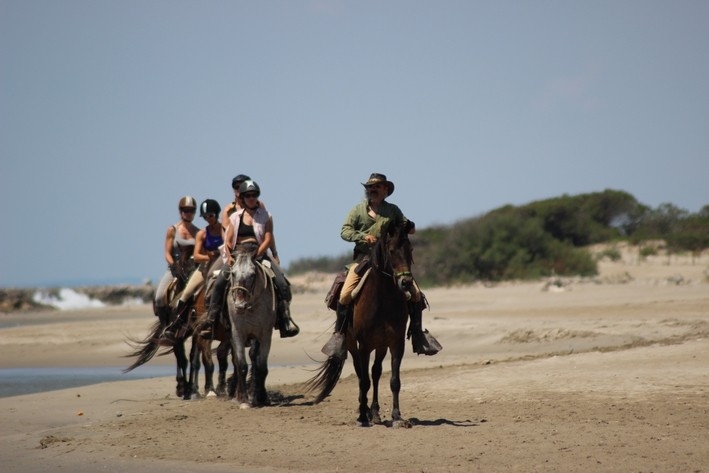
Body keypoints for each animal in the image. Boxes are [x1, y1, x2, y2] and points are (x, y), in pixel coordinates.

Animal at [306, 219, 414, 426]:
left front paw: (397, 417)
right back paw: (363, 410)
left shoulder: (396, 343)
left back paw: (375, 412)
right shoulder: (364, 345)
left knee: (376, 372)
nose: (405, 282)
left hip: (380, 345)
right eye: (391, 250)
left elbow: (394, 381)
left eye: (410, 249)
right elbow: (364, 381)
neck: (383, 299)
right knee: (360, 373)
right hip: (351, 343)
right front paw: (363, 416)